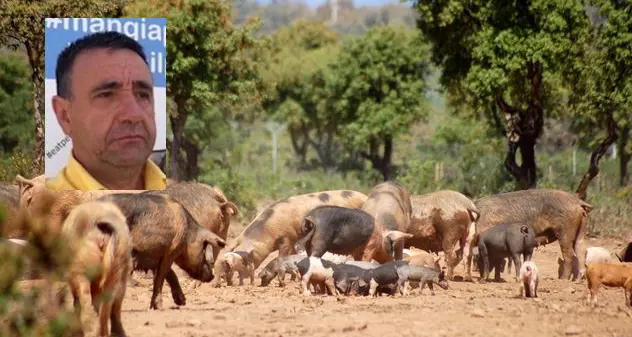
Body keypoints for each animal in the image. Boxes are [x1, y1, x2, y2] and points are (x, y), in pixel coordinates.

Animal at [225, 189, 368, 272]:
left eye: (245, 260)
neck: (268, 232)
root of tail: (366, 196)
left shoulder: (287, 239)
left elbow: (282, 256)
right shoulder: (292, 240)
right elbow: (293, 254)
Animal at [464, 189, 592, 280]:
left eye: (478, 259)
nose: (480, 275)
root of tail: (577, 201)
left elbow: (498, 260)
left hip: (565, 231)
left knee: (569, 254)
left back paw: (563, 279)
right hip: (581, 230)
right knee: (581, 251)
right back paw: (578, 279)